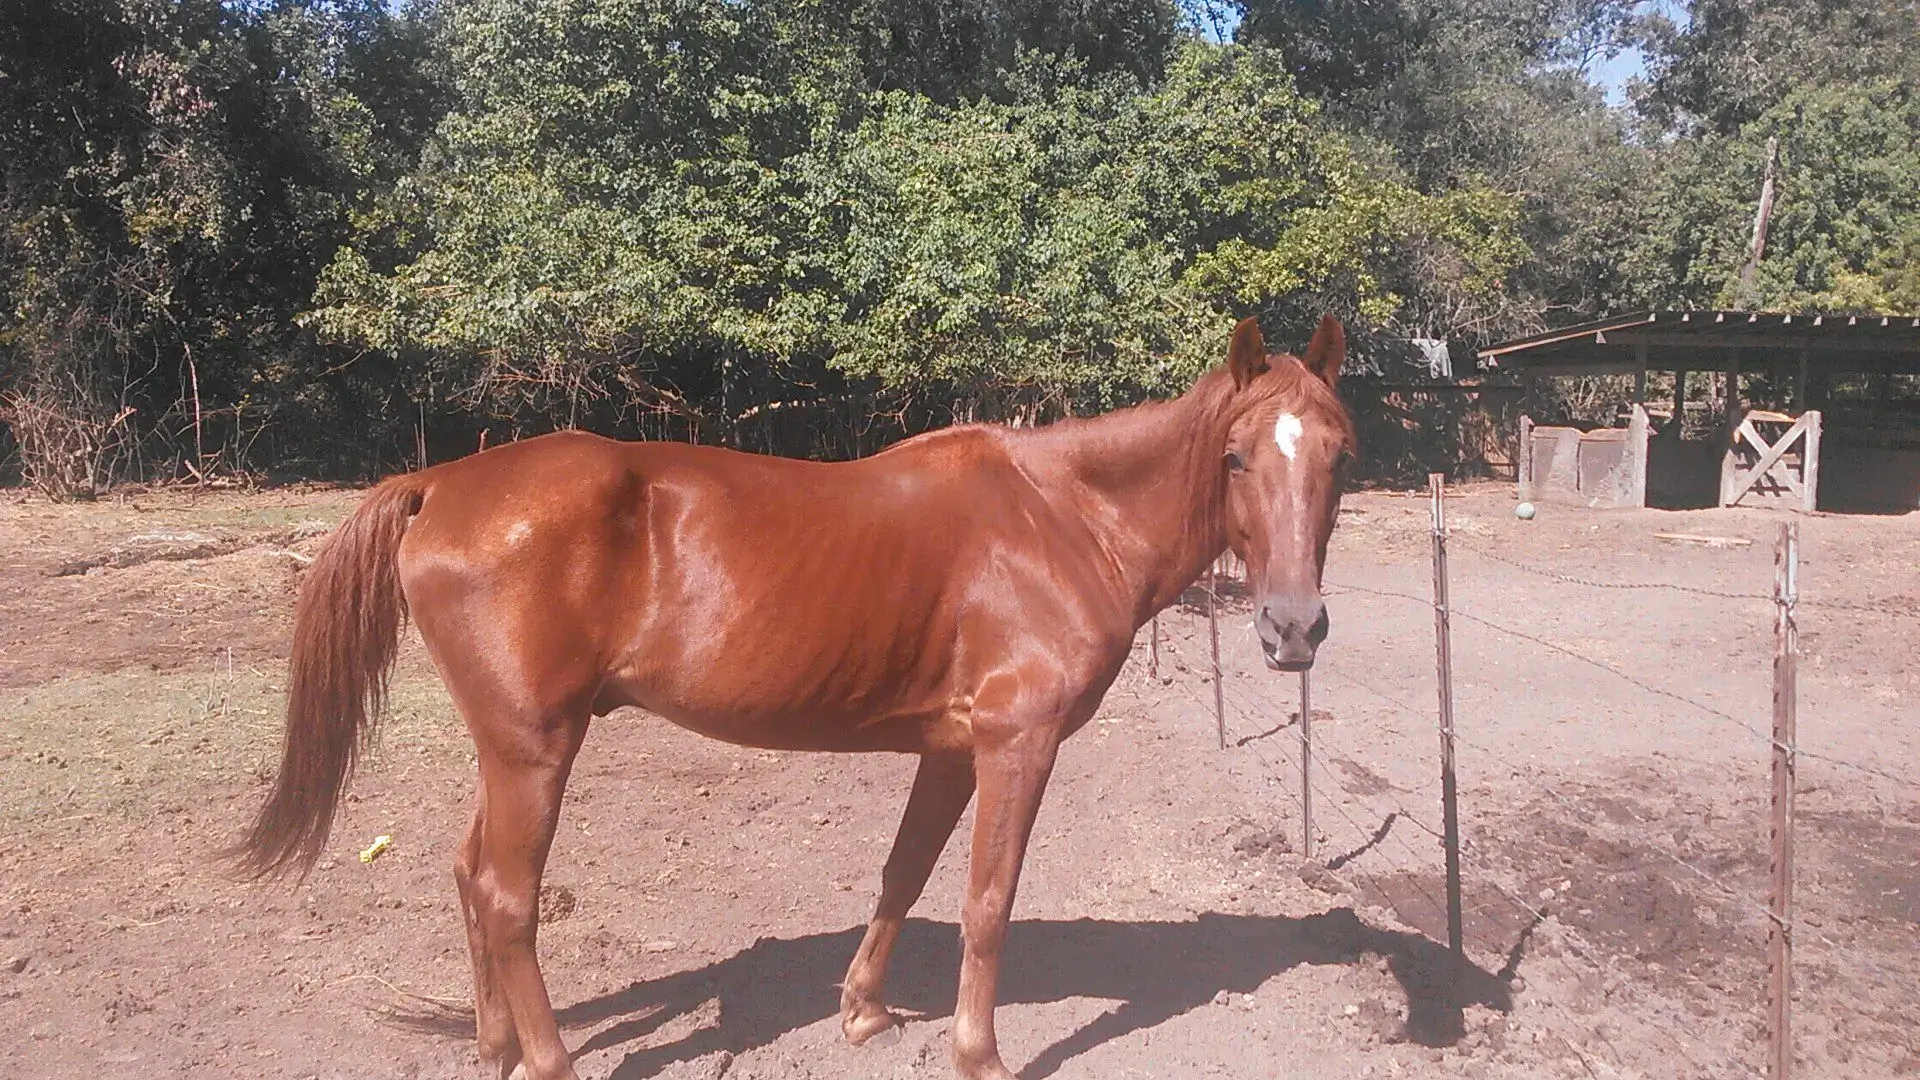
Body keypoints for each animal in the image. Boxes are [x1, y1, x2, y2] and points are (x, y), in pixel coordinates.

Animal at [231, 313, 1355, 1080]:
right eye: (1236, 456)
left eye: (1339, 456)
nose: (1293, 629)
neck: (1060, 519)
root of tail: (441, 485)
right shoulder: (1016, 745)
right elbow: (987, 902)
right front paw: (979, 1053)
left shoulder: (949, 750)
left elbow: (905, 874)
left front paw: (862, 1012)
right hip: (535, 752)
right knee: (508, 899)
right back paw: (548, 1062)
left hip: (509, 749)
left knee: (470, 879)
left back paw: (496, 1048)